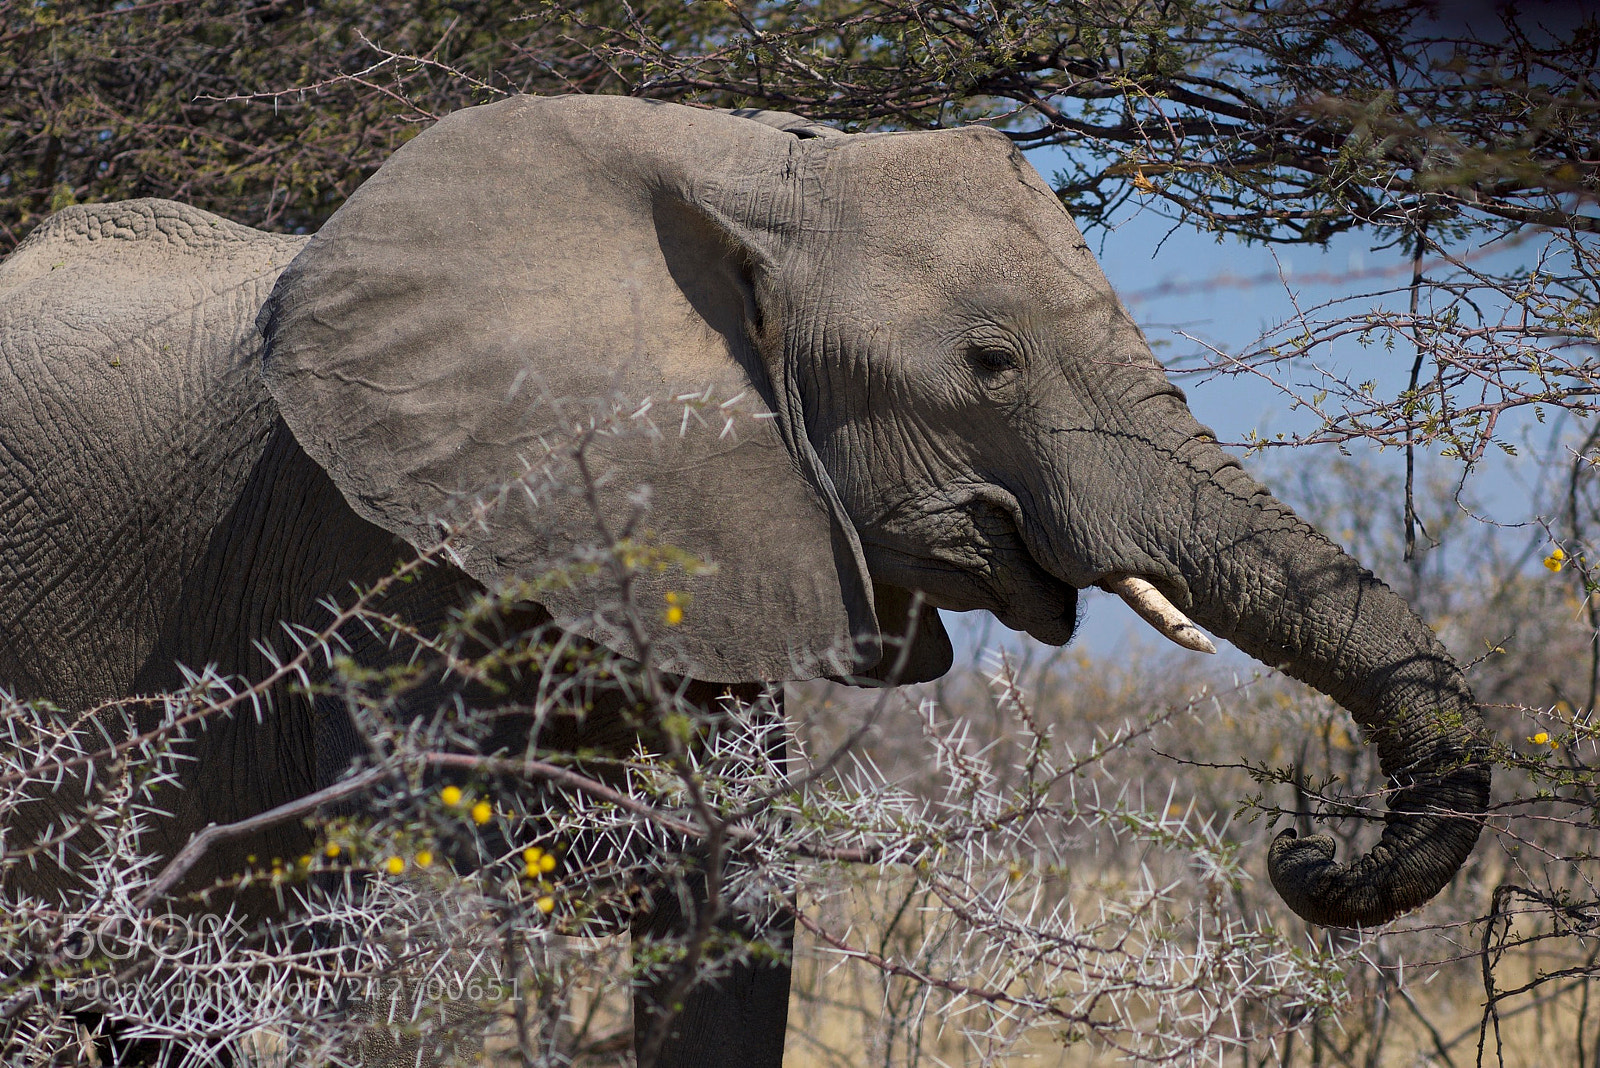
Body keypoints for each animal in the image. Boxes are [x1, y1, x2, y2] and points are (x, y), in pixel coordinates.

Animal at [0, 95, 1490, 1064]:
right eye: (989, 363)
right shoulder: (381, 549)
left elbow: (737, 903)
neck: (745, 181)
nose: (1306, 845)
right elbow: (418, 915)